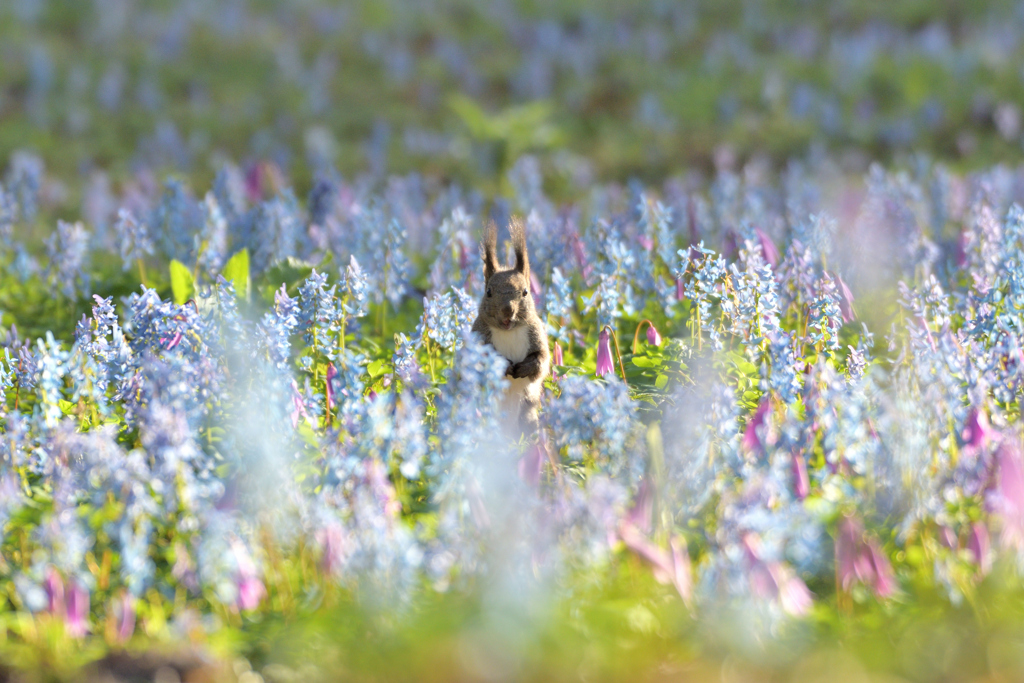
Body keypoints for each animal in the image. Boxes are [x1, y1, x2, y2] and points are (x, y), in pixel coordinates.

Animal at [473, 216, 552, 436]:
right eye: (489, 292)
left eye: (525, 292)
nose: (508, 310)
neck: (509, 331)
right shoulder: (479, 335)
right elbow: (481, 360)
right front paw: (504, 365)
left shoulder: (536, 333)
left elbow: (542, 361)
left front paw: (525, 367)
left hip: (527, 407)